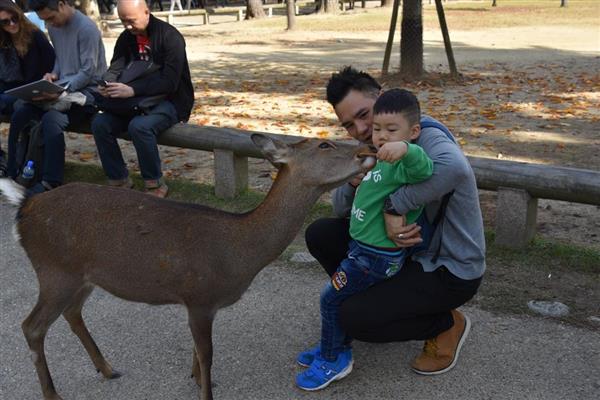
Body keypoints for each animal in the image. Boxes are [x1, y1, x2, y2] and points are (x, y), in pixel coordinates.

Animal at [0, 134, 376, 400]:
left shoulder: (201, 303)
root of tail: (25, 206)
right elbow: (207, 353)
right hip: (54, 270)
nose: (368, 149)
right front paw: (205, 389)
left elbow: (198, 352)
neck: (240, 253)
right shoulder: (199, 295)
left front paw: (195, 379)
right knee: (32, 326)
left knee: (72, 313)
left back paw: (107, 369)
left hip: (81, 276)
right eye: (324, 144)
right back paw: (53, 393)